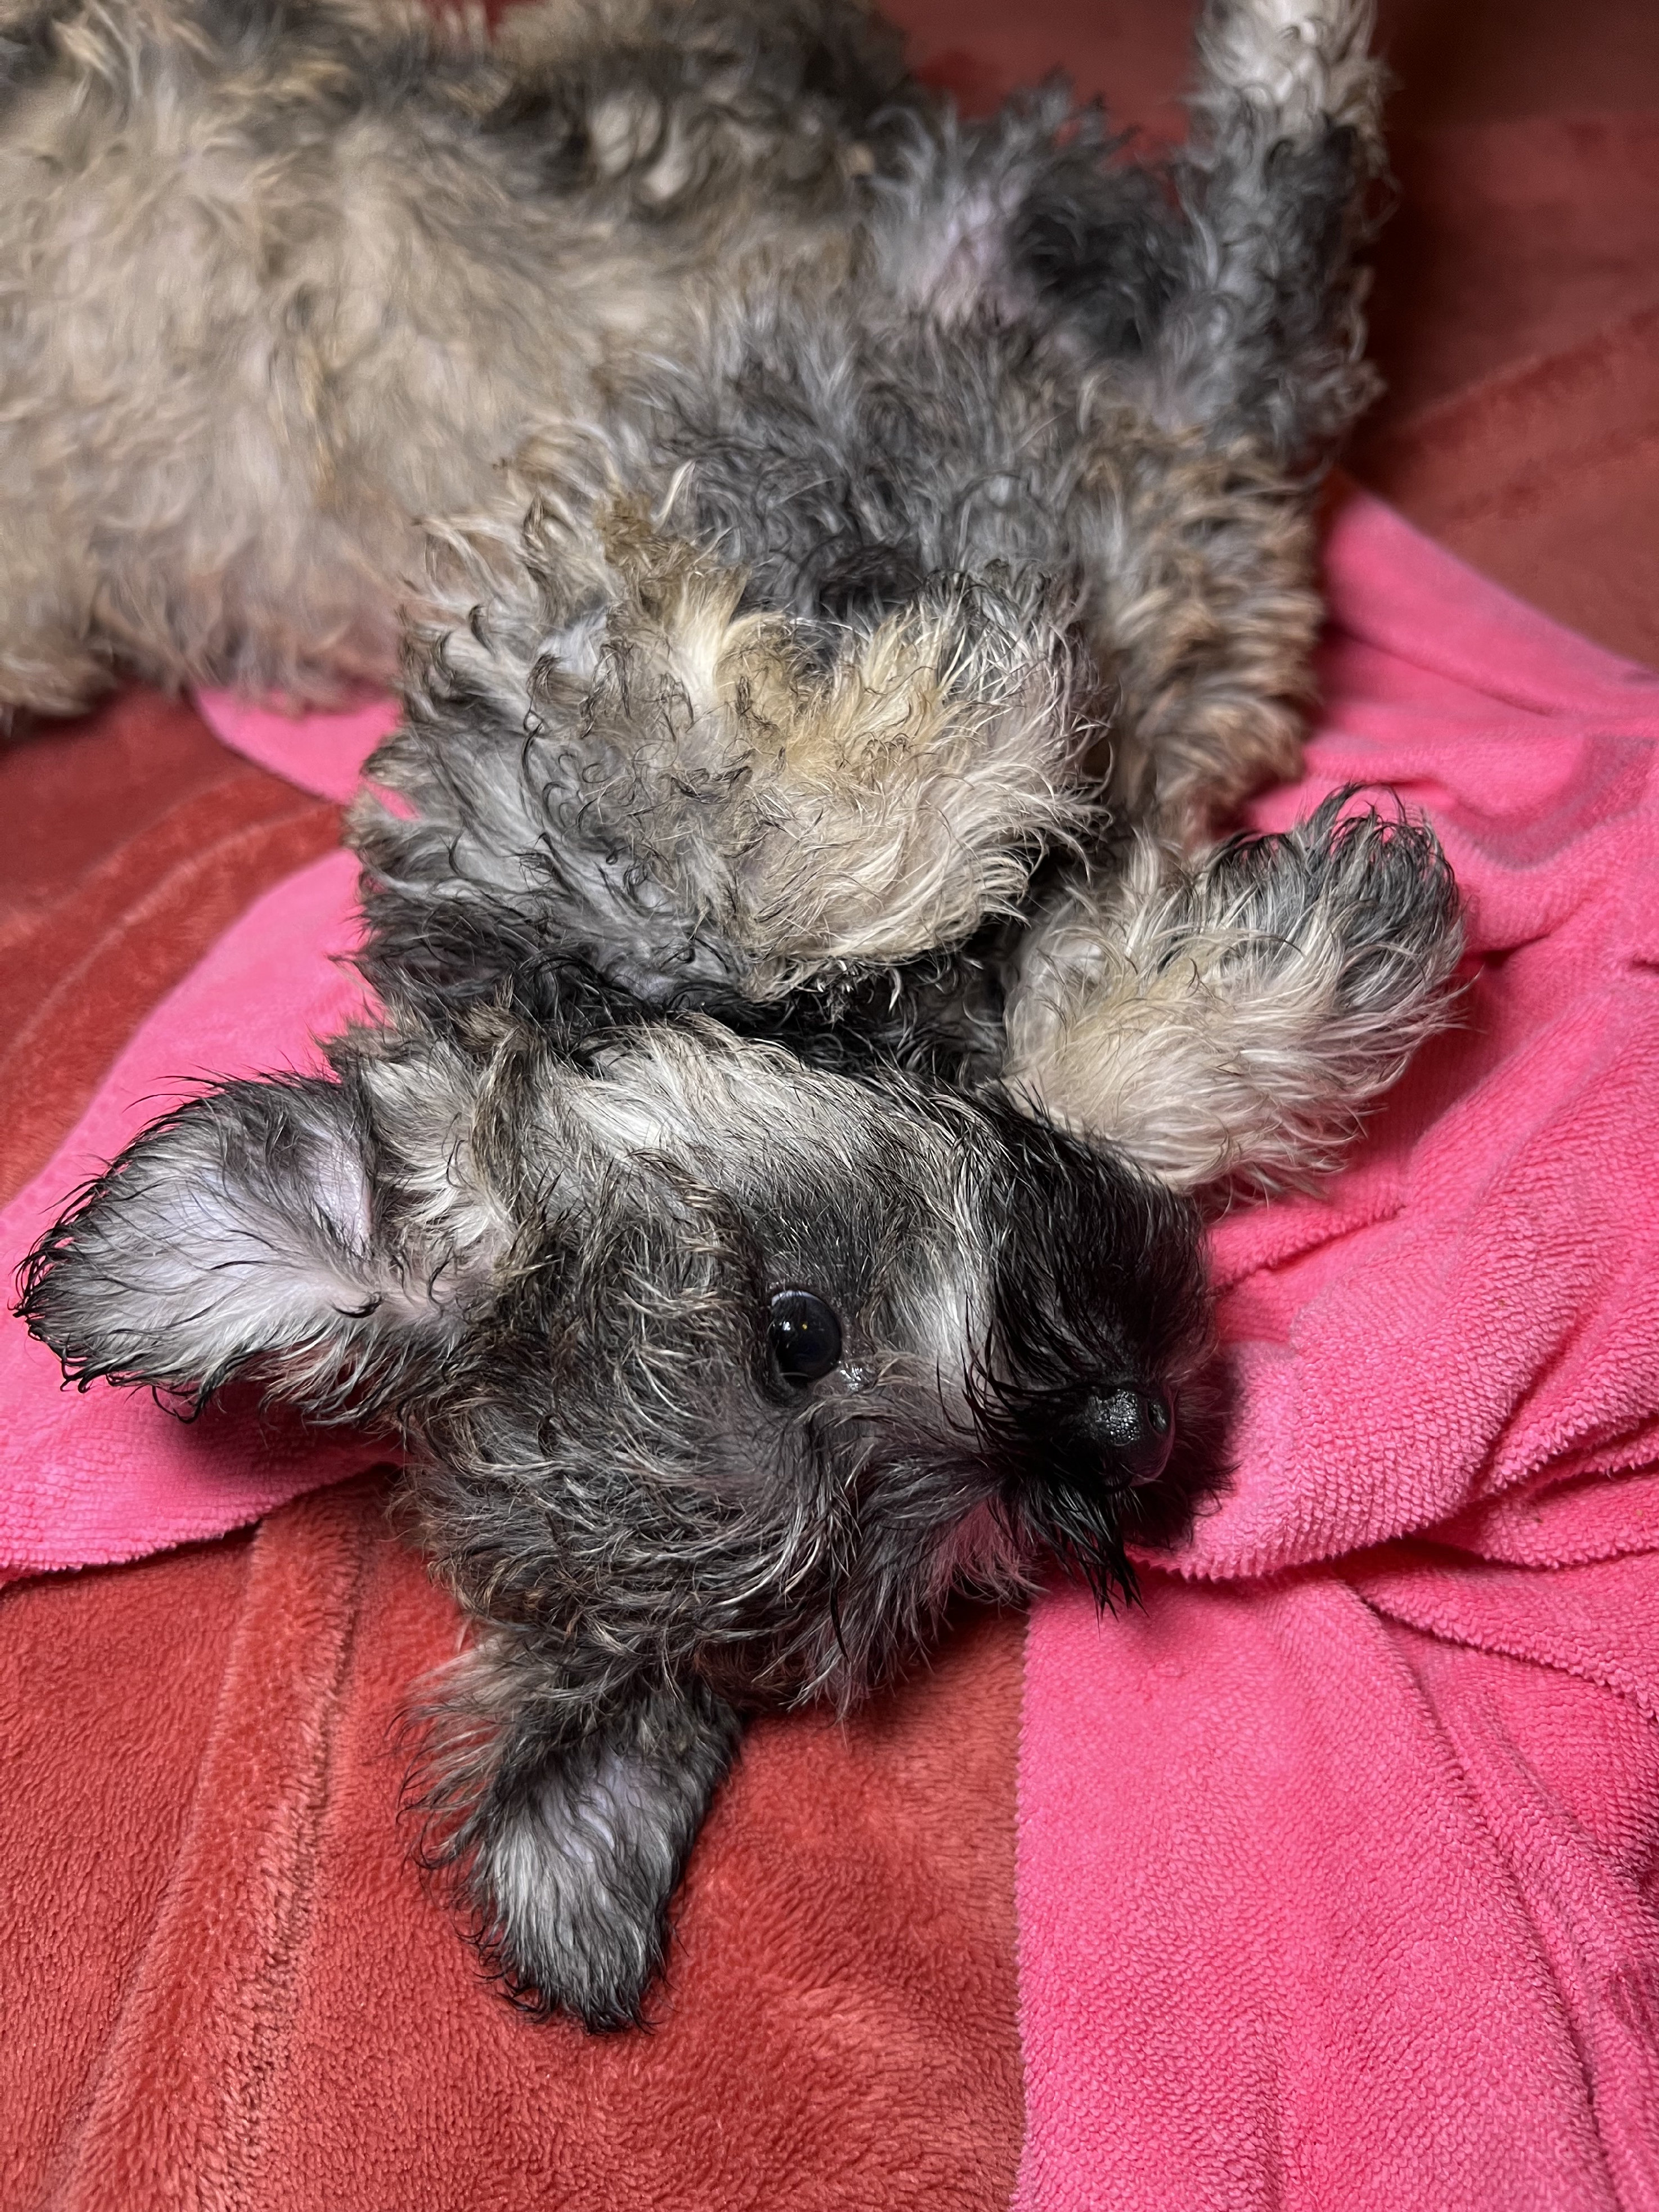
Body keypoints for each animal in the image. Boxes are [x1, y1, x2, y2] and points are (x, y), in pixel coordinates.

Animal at [13, 0, 1468, 2026]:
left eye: (793, 1328)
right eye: (943, 1570)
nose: (1122, 1433)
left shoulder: (546, 713)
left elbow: (768, 849)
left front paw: (980, 710)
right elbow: (1056, 1026)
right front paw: (1283, 969)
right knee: (1254, 288)